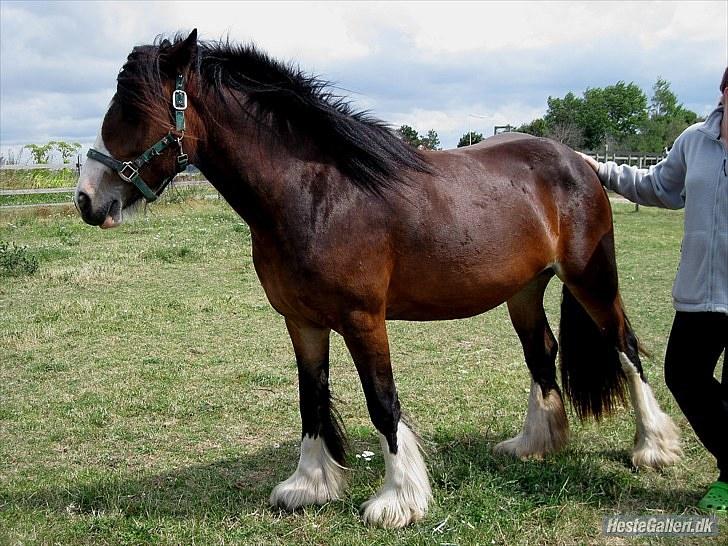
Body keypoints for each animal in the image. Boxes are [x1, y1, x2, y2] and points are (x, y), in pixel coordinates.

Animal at [75, 30, 684, 528]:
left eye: (134, 110)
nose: (86, 199)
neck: (317, 193)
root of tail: (579, 160)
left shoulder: (363, 319)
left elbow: (382, 401)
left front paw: (399, 500)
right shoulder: (301, 321)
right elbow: (311, 398)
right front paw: (309, 485)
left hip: (591, 278)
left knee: (626, 347)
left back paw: (652, 447)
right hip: (523, 291)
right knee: (543, 353)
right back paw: (534, 443)